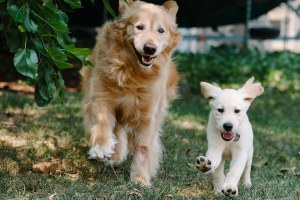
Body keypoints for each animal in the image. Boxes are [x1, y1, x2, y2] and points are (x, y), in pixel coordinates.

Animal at [79, 0, 179, 186]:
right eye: (139, 27)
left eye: (161, 30)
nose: (149, 49)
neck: (132, 73)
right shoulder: (101, 99)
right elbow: (102, 122)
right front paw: (102, 146)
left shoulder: (147, 115)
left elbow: (144, 147)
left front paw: (140, 178)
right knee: (117, 129)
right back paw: (115, 156)